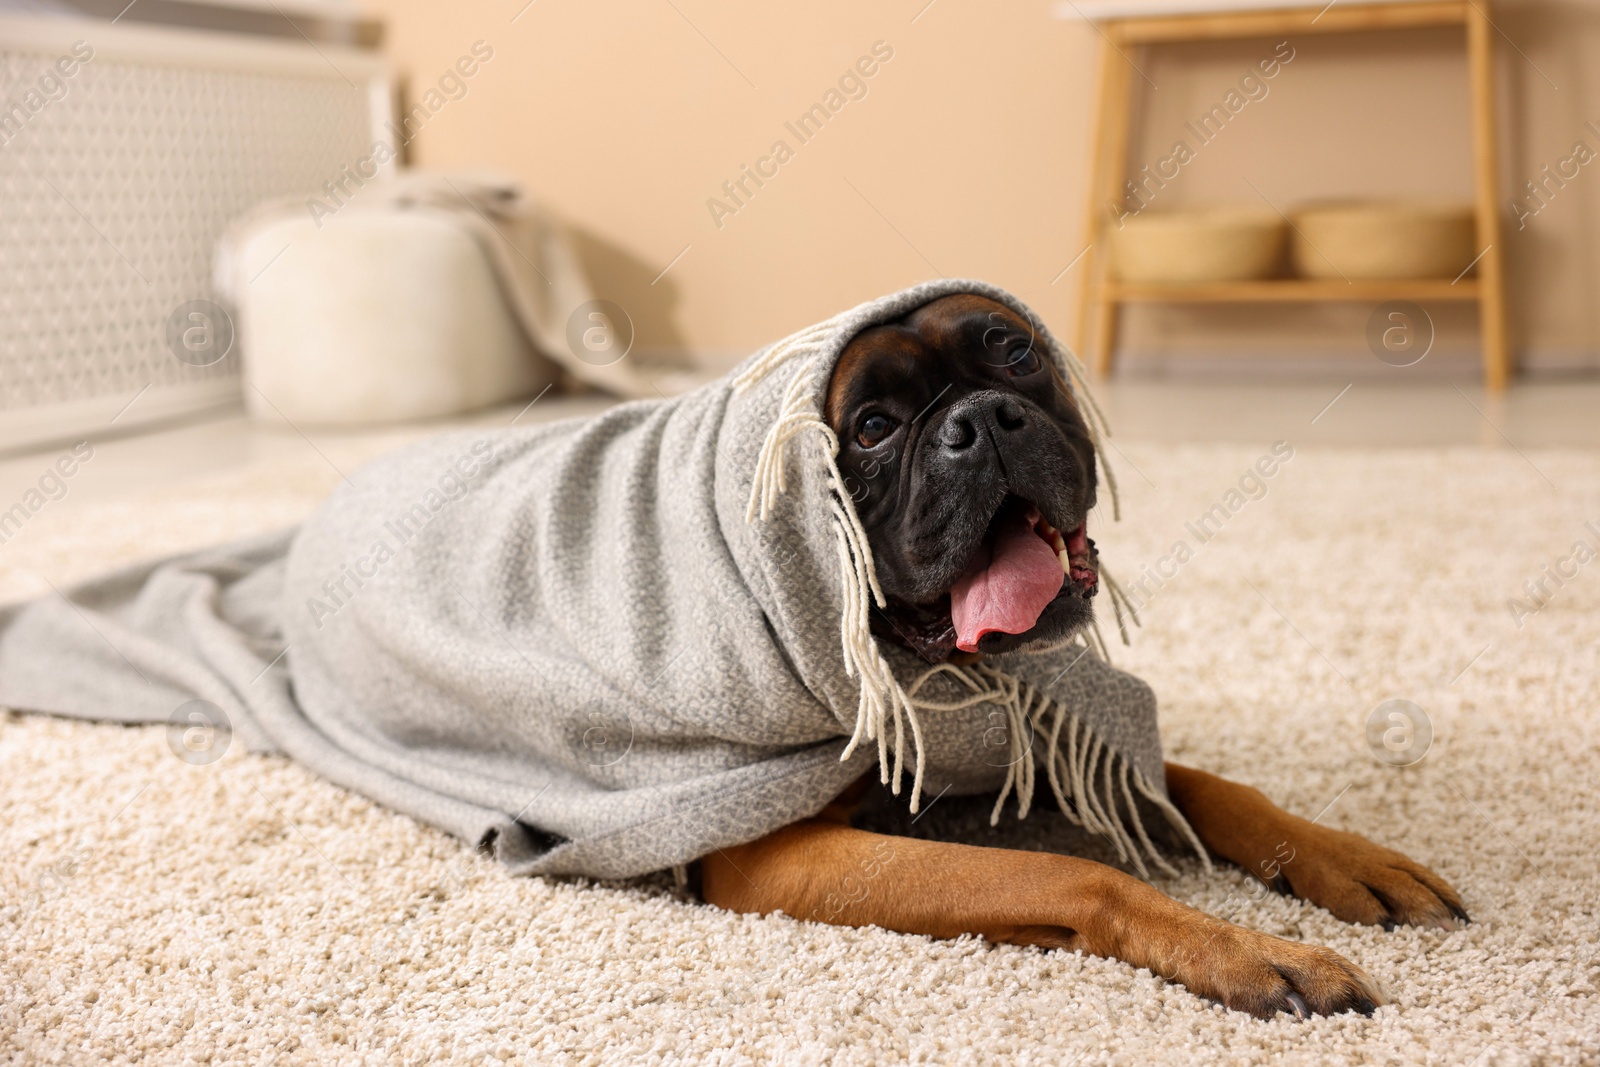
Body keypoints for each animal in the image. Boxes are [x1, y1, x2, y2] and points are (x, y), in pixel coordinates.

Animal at [700, 292, 1465, 1017]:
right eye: (872, 429)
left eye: (1016, 354)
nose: (980, 420)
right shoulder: (766, 850)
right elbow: (1067, 872)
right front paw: (1253, 952)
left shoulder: (1049, 748)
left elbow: (1215, 788)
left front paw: (1350, 858)